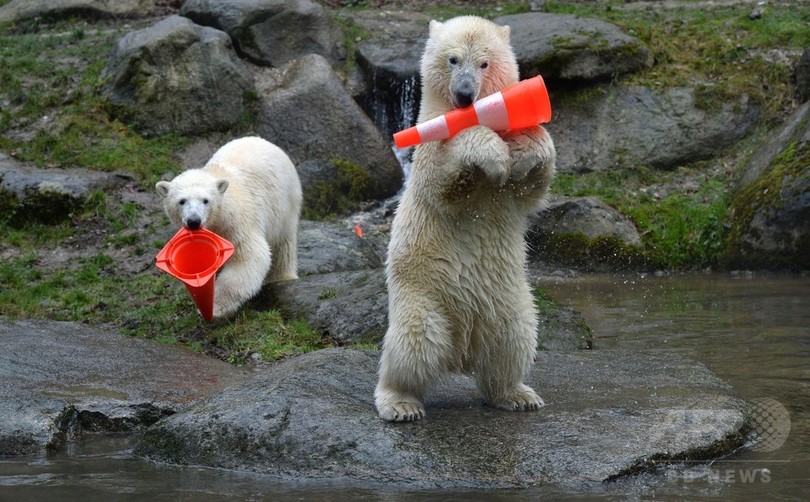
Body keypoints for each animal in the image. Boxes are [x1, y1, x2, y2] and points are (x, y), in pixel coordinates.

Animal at [155, 135, 300, 320]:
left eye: (205, 200)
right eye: (182, 201)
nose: (194, 221)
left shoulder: (237, 222)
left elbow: (248, 257)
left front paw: (215, 307)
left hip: (285, 203)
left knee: (283, 242)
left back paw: (281, 277)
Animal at [374, 16, 556, 424]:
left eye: (485, 63)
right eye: (453, 59)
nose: (464, 95)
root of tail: (463, 350)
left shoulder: (512, 196)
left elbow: (532, 187)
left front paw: (525, 148)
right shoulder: (427, 148)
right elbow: (447, 180)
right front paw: (493, 155)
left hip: (509, 303)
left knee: (513, 342)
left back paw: (518, 394)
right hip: (424, 298)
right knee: (415, 343)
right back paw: (400, 403)